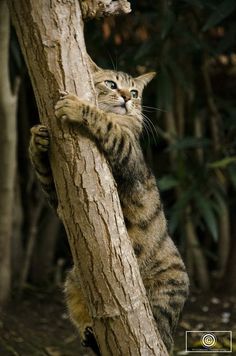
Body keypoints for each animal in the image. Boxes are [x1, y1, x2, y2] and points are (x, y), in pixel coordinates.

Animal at [28, 57, 189, 354]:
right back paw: (89, 334)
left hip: (166, 294)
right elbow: (43, 173)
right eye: (111, 84)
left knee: (160, 333)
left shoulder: (128, 153)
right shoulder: (59, 200)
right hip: (72, 282)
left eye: (135, 92)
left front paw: (77, 107)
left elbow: (105, 122)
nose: (126, 97)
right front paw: (37, 139)